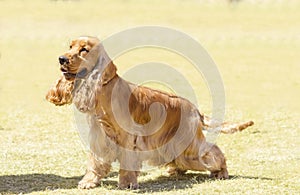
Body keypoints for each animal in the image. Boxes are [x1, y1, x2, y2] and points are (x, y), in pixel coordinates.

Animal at [46, 36, 253, 189]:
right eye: (70, 46)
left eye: (84, 50)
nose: (61, 59)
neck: (104, 89)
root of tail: (195, 109)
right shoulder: (99, 136)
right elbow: (95, 161)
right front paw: (89, 181)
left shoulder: (128, 137)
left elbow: (127, 162)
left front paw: (127, 183)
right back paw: (175, 170)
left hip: (189, 143)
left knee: (214, 153)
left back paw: (221, 172)